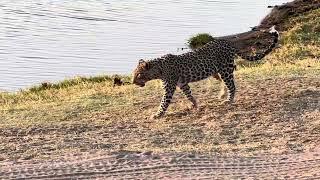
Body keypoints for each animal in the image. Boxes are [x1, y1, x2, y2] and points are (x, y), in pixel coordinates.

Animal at [132, 26, 278, 118]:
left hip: (225, 70)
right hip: (218, 72)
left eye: (138, 74)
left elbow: (163, 103)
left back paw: (228, 100)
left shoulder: (169, 88)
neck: (159, 69)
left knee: (232, 86)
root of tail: (229, 43)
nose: (133, 82)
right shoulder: (182, 84)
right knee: (226, 83)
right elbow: (189, 95)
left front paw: (157, 115)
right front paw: (194, 105)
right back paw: (222, 95)